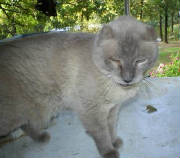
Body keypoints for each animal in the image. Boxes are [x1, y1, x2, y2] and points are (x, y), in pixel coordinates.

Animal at [0, 16, 158, 158]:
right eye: (116, 60)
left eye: (140, 61)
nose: (127, 79)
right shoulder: (92, 112)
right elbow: (101, 134)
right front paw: (109, 152)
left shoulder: (112, 109)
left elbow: (111, 129)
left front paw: (115, 142)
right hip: (14, 115)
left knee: (26, 125)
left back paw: (41, 137)